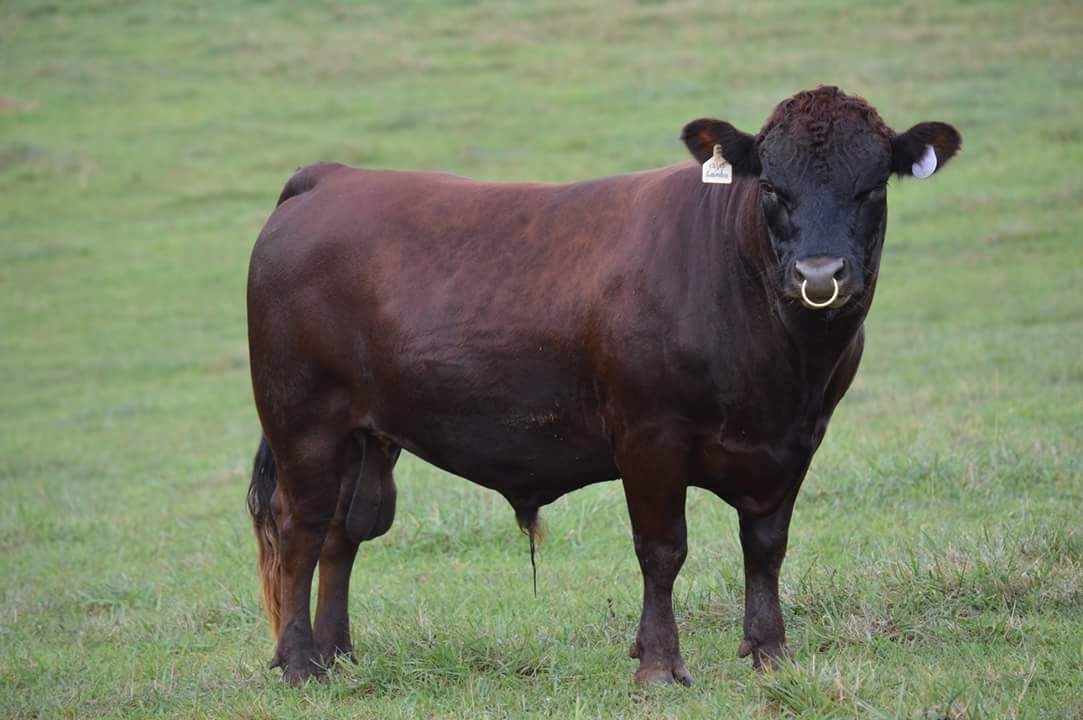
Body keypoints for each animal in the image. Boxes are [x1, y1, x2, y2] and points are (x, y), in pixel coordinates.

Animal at [246, 85, 961, 686]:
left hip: (368, 435)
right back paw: (299, 662)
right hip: (303, 422)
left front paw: (769, 653)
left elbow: (766, 548)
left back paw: (337, 654)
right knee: (299, 526)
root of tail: (333, 177)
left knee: (345, 531)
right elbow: (663, 550)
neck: (782, 365)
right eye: (773, 187)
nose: (819, 274)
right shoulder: (649, 436)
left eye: (871, 187)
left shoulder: (795, 442)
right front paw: (660, 665)